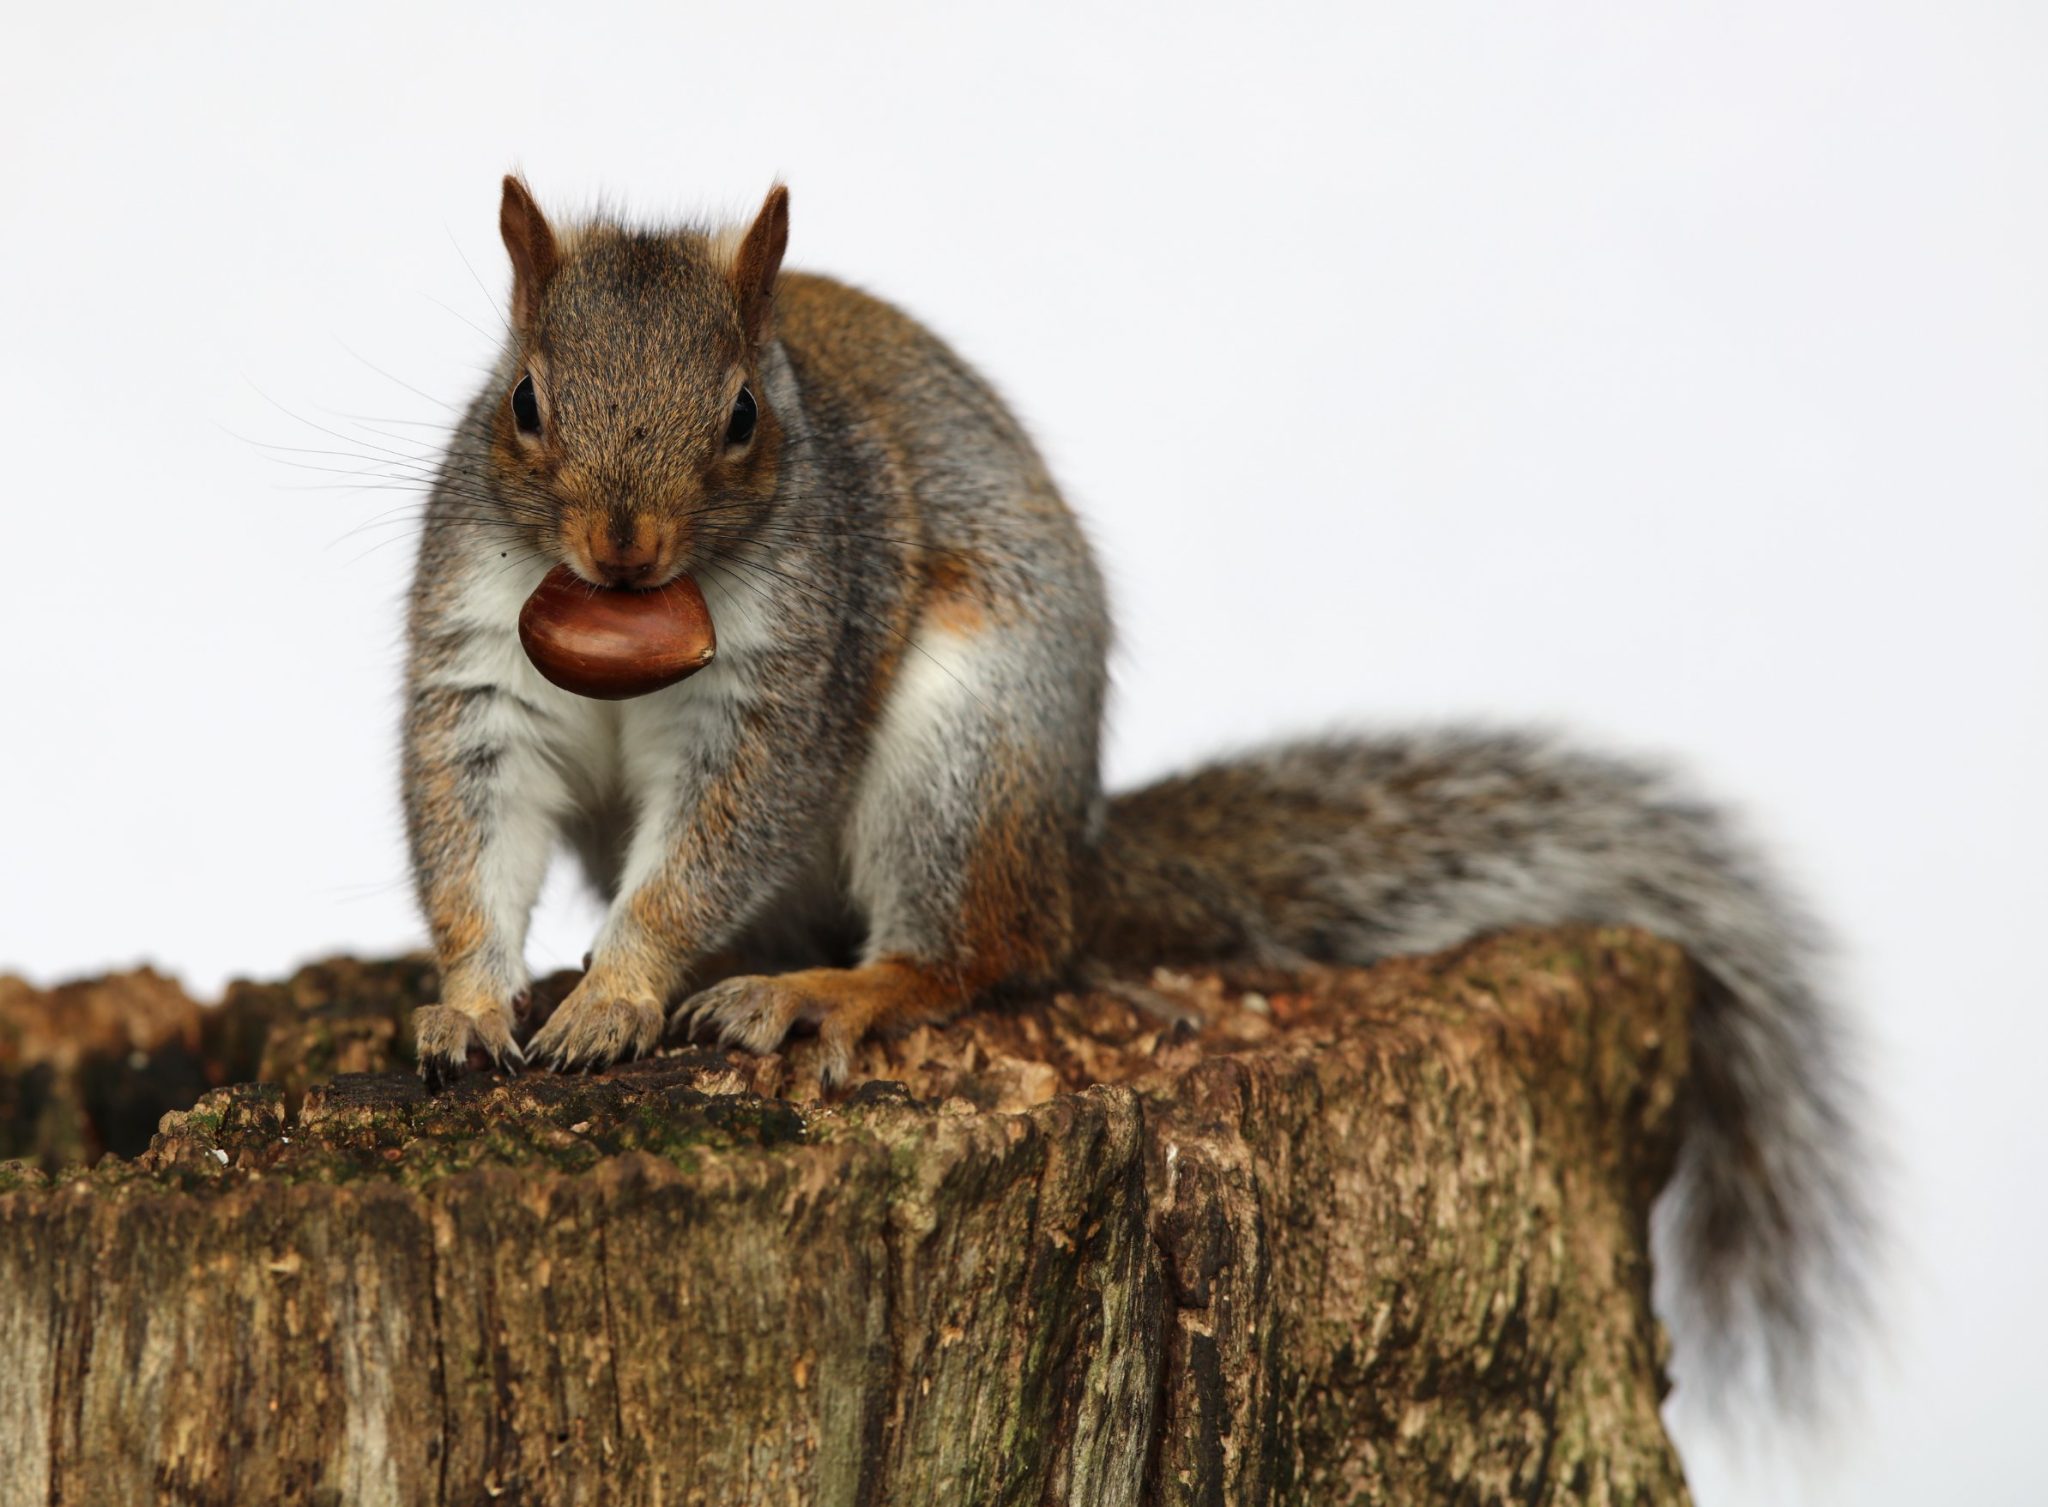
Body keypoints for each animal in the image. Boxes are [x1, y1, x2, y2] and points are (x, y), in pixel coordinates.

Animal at [403, 176, 1870, 1406]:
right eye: (521, 400)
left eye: (743, 417)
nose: (622, 549)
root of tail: (1073, 857)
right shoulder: (479, 669)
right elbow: (468, 841)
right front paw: (472, 1007)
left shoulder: (785, 682)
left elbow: (716, 837)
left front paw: (616, 995)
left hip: (965, 755)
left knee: (979, 953)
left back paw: (825, 990)